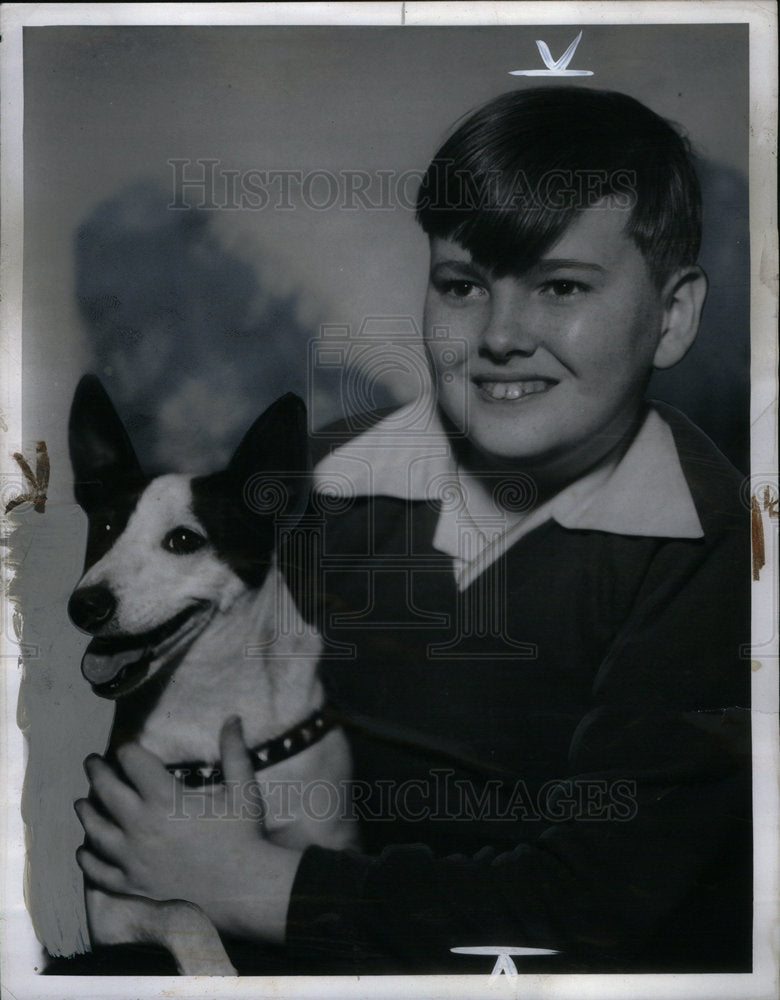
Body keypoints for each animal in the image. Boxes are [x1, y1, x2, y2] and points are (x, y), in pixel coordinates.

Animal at [68, 376, 358, 976]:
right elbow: (184, 908)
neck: (206, 694)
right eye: (104, 528)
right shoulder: (107, 902)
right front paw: (215, 971)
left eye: (184, 541)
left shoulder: (327, 843)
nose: (84, 606)